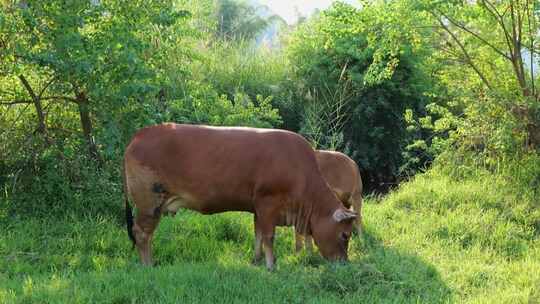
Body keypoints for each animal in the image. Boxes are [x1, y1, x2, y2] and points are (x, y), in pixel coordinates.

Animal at [124, 122, 356, 270]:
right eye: (345, 235)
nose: (344, 263)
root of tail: (140, 134)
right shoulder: (268, 204)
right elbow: (269, 237)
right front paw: (271, 265)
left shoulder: (257, 209)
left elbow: (258, 235)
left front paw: (257, 260)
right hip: (149, 202)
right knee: (142, 234)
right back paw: (148, 265)